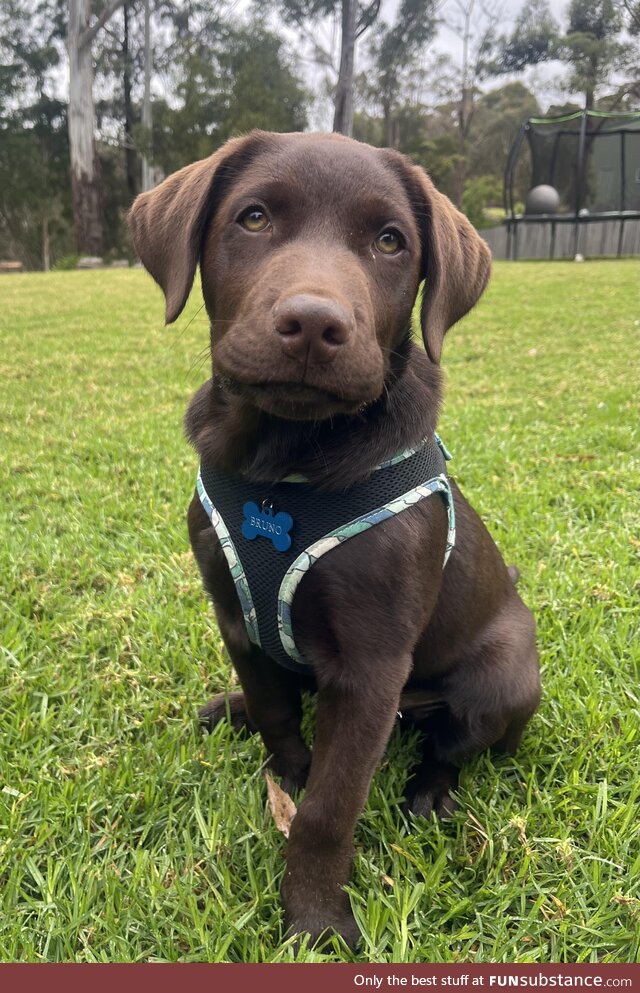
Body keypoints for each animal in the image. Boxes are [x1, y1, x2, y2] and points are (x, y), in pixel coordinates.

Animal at [130, 132, 540, 944]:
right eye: (254, 217)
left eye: (390, 241)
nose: (315, 325)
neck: (282, 467)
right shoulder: (236, 617)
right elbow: (278, 717)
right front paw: (284, 770)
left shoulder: (371, 665)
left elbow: (329, 808)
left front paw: (317, 921)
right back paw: (228, 707)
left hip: (501, 679)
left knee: (455, 742)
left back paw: (431, 793)